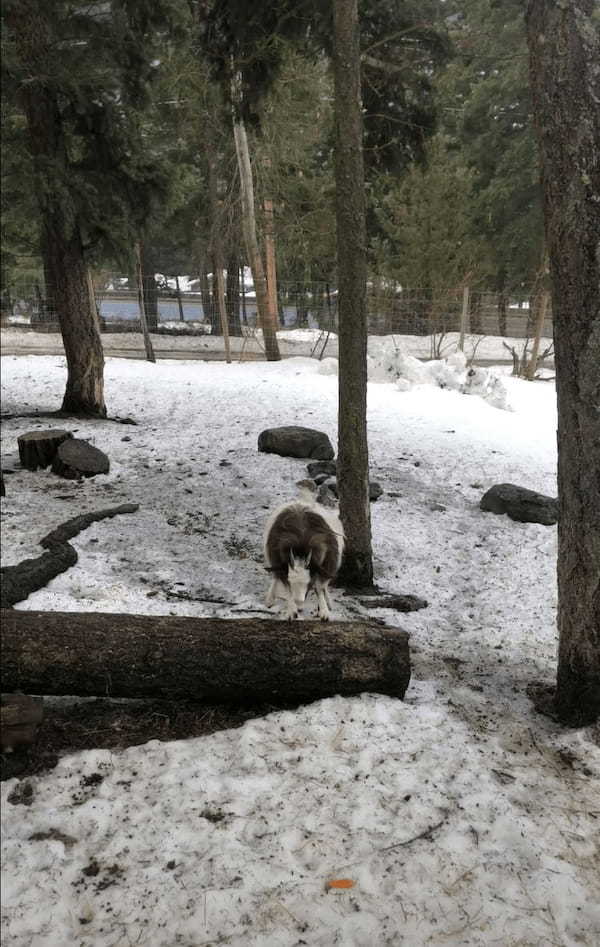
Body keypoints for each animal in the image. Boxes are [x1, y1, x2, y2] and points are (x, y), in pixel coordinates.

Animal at [264, 482, 344, 624]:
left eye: (309, 581)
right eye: (291, 581)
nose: (299, 603)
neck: (300, 549)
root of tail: (304, 500)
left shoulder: (325, 563)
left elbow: (319, 587)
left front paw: (324, 612)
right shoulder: (280, 561)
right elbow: (286, 586)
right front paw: (291, 611)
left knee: (324, 585)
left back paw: (328, 602)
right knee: (275, 576)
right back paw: (270, 599)